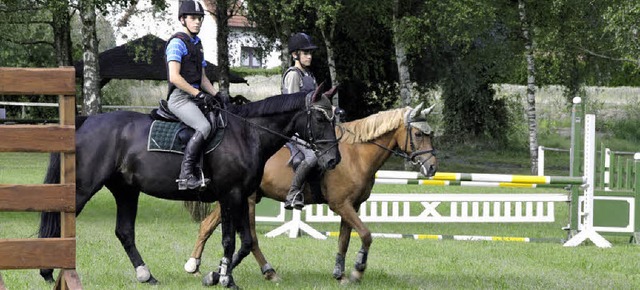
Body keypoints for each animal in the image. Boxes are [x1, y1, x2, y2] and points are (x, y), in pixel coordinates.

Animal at [38, 86, 340, 288]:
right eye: (321, 119)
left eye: (335, 118)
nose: (333, 160)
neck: (246, 134)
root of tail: (86, 121)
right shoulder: (230, 195)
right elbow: (230, 240)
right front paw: (224, 278)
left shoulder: (242, 196)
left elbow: (246, 241)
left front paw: (216, 275)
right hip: (83, 189)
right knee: (63, 221)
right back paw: (48, 272)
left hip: (126, 190)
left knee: (124, 232)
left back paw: (146, 275)